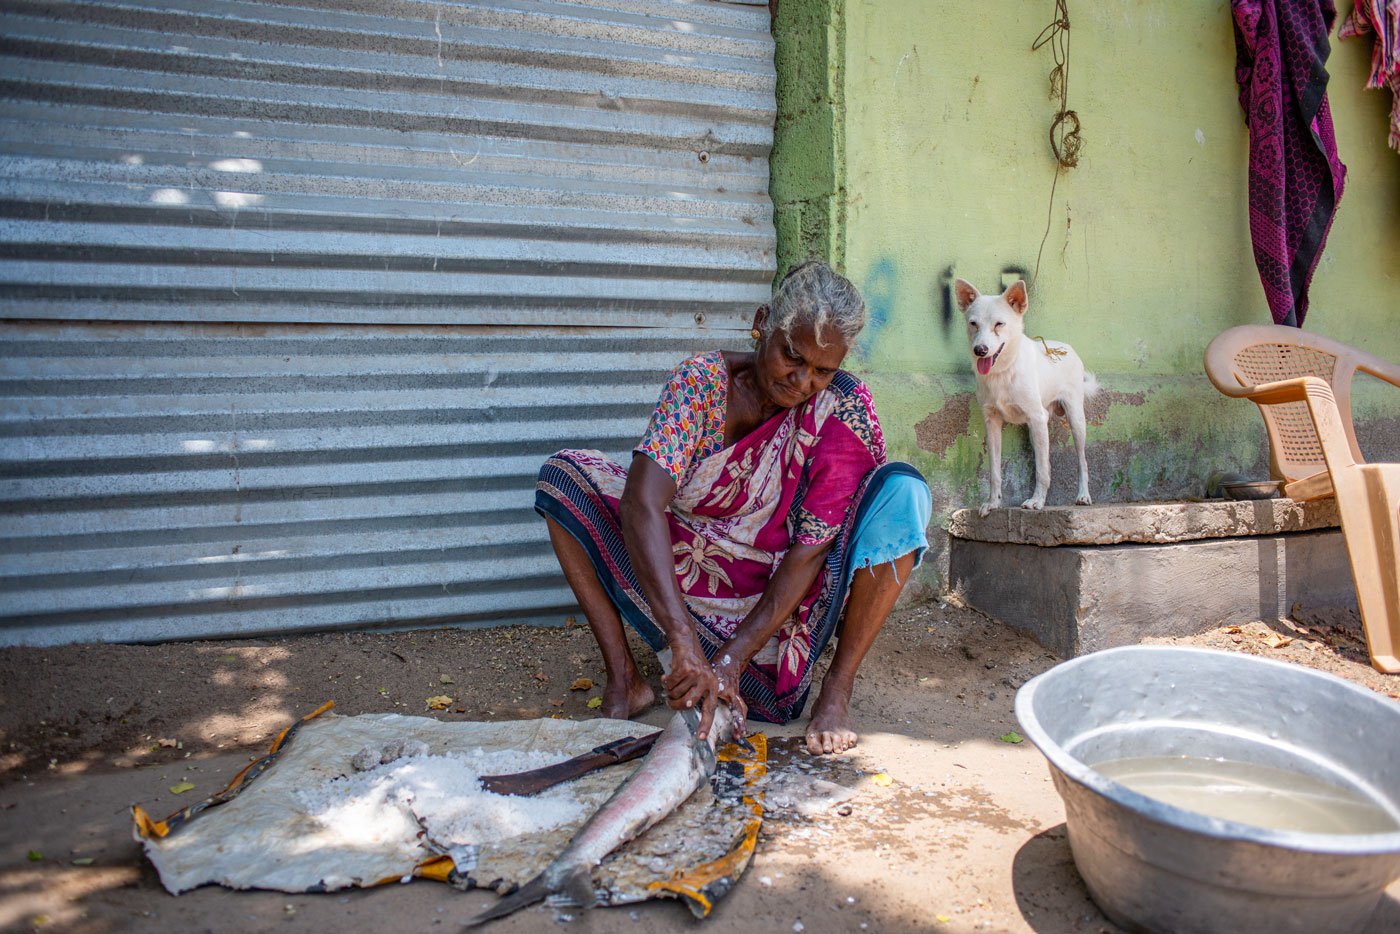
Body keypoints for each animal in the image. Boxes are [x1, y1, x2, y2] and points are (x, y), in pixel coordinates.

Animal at [957, 280, 1097, 518]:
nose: (980, 350)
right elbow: (995, 471)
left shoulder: (1036, 417)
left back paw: (1083, 496)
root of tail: (1066, 347)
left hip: (1075, 419)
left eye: (999, 324)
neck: (1003, 371)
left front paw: (1037, 501)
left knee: (1082, 461)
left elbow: (1040, 471)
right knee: (1047, 462)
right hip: (1039, 427)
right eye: (973, 323)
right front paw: (993, 503)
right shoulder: (992, 423)